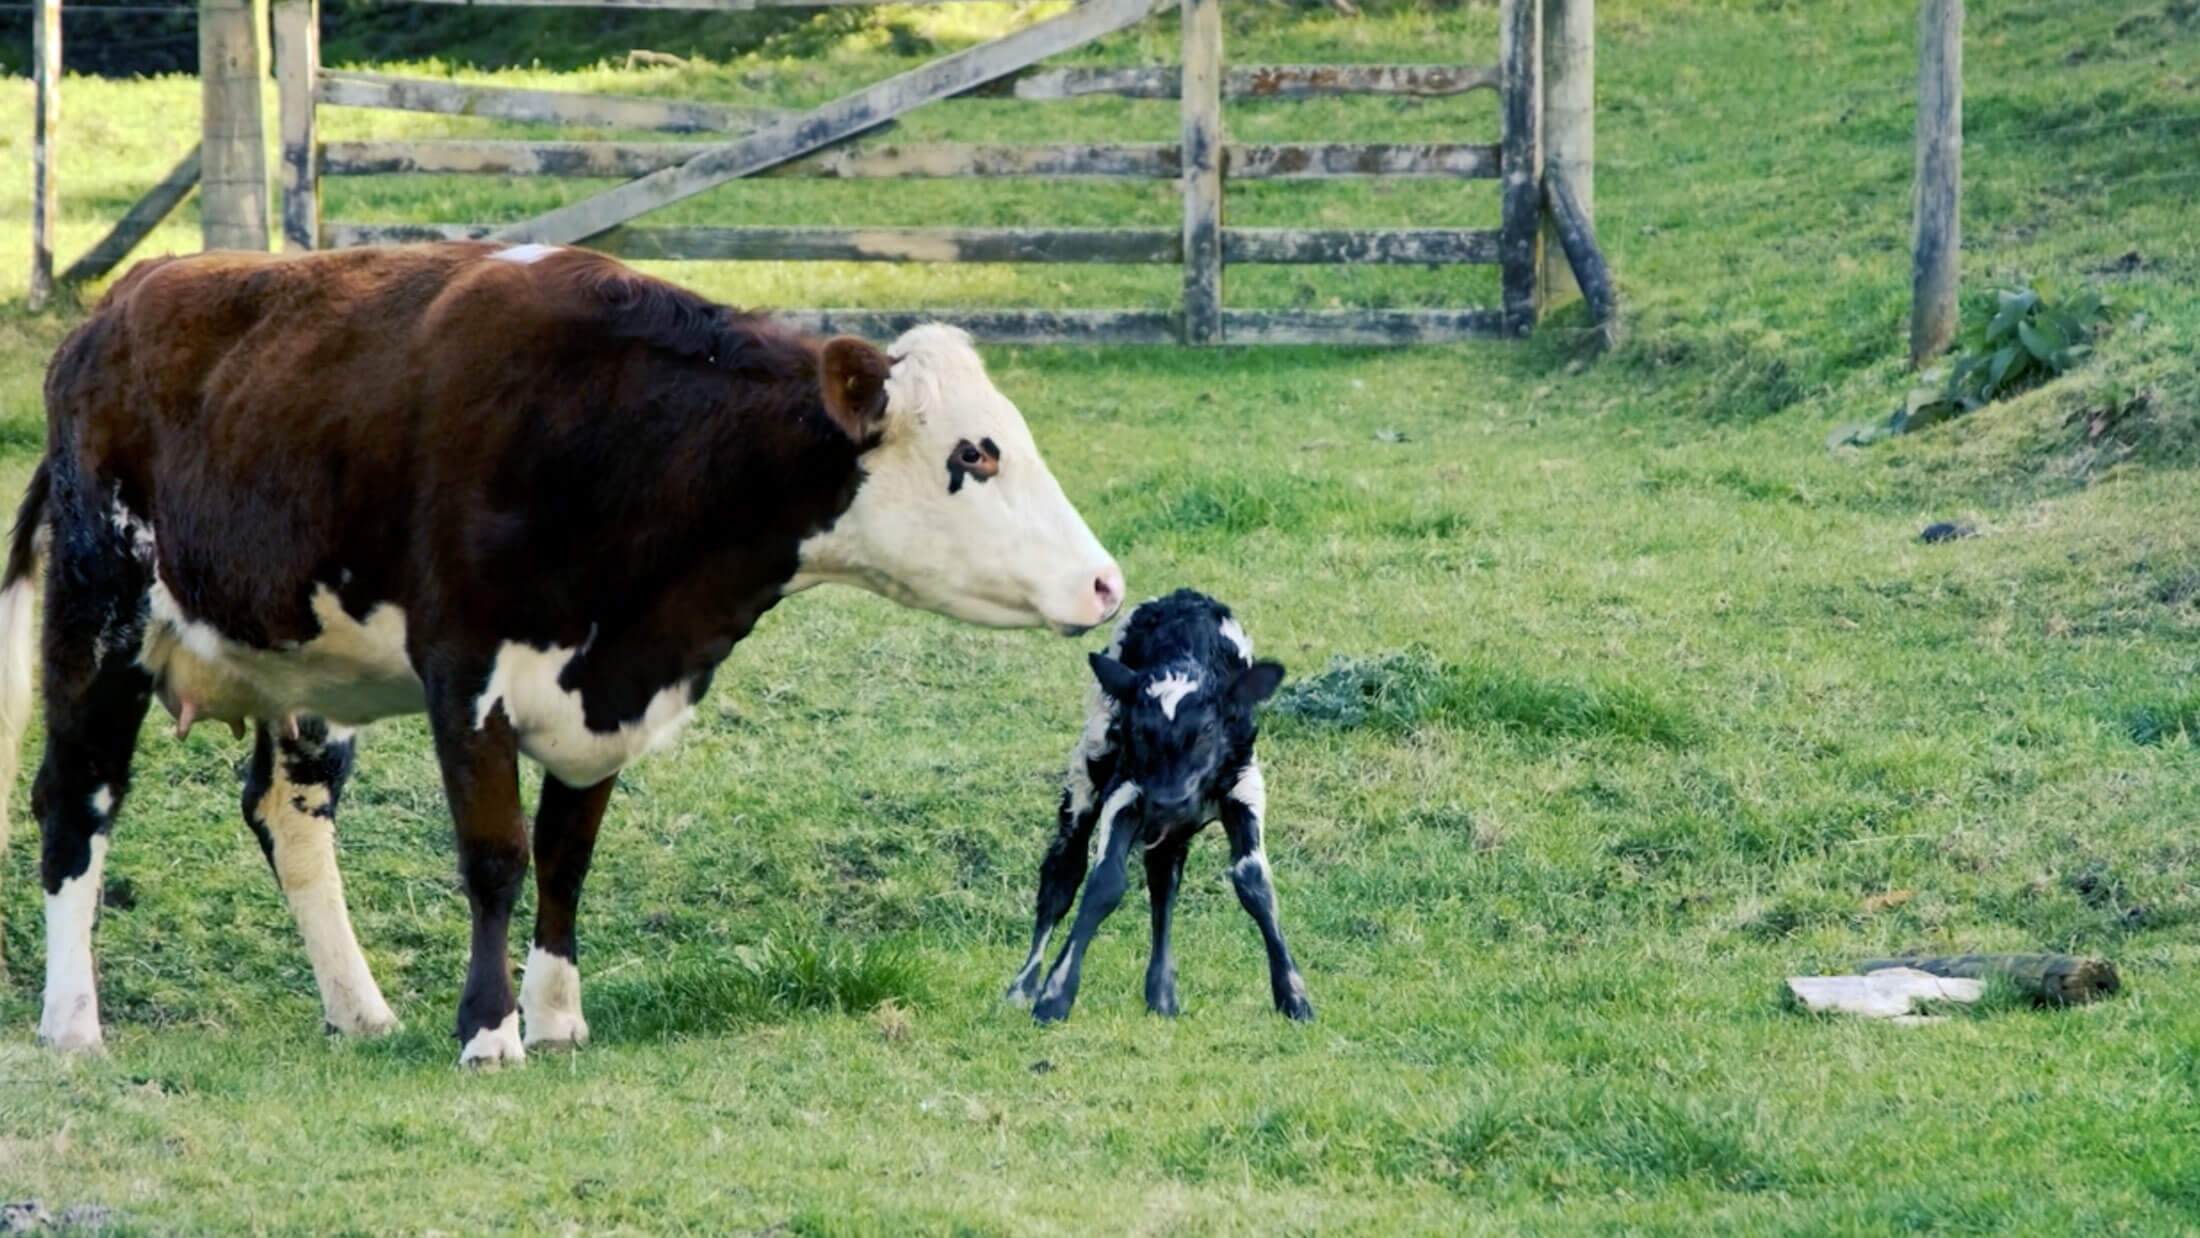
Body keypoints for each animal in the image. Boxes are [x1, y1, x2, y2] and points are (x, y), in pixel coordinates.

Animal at [0, 241, 1124, 1065]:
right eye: (975, 454)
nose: (1106, 582)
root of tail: (112, 311)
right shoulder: (466, 675)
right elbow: (496, 856)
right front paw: (490, 1031)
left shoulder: (605, 695)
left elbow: (567, 859)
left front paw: (556, 1016)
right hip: (101, 615)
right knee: (76, 800)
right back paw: (72, 1024)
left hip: (296, 666)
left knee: (290, 814)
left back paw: (359, 1009)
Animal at [1004, 589, 1312, 1025]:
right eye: (1138, 729)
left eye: (1208, 729)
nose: (1168, 800)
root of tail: (1183, 596)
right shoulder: (1128, 789)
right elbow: (1104, 883)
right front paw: (1055, 995)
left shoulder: (1245, 786)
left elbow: (1254, 883)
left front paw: (1293, 996)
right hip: (1089, 770)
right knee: (1063, 872)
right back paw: (1023, 985)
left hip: (1171, 828)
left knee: (1163, 882)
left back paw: (1162, 996)